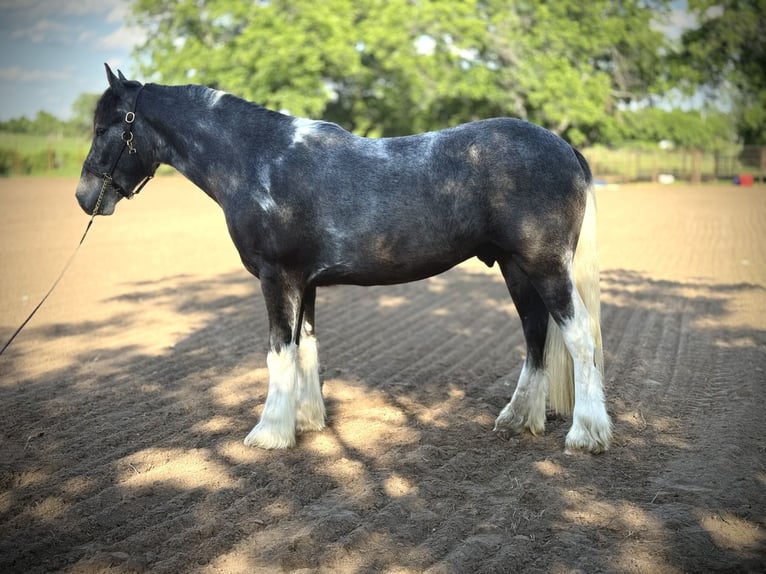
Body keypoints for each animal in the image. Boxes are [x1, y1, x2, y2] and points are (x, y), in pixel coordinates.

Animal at [76, 65, 612, 453]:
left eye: (105, 128)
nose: (84, 197)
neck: (259, 161)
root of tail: (565, 147)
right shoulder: (306, 283)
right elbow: (306, 348)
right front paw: (306, 422)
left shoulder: (277, 279)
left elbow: (279, 351)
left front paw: (269, 433)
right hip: (515, 267)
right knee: (536, 334)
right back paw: (518, 420)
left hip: (545, 266)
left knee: (578, 336)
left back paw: (585, 435)